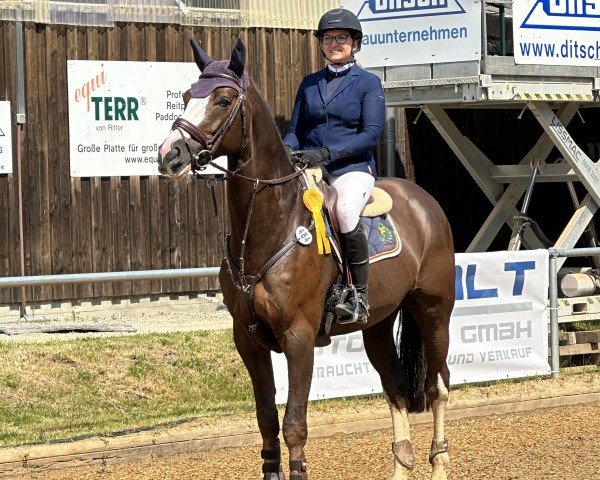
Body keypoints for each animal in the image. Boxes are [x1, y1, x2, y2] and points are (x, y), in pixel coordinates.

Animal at [156, 38, 454, 480]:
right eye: (187, 96)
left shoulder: (298, 336)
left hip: (433, 311)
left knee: (437, 387)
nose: (169, 154)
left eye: (223, 100)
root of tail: (424, 201)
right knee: (397, 388)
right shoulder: (248, 339)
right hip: (377, 324)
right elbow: (266, 420)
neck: (270, 227)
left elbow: (294, 424)